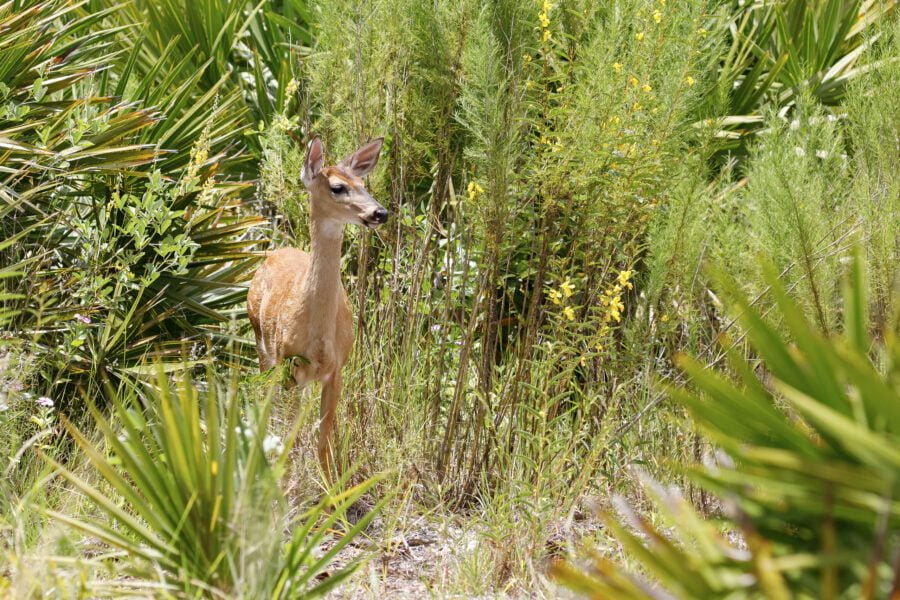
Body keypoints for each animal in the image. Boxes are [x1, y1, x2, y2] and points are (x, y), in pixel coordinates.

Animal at [246, 135, 386, 474]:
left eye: (363, 183)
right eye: (337, 187)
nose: (380, 213)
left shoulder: (337, 370)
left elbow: (324, 443)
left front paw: (331, 485)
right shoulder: (288, 364)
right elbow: (291, 437)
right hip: (262, 344)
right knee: (270, 406)